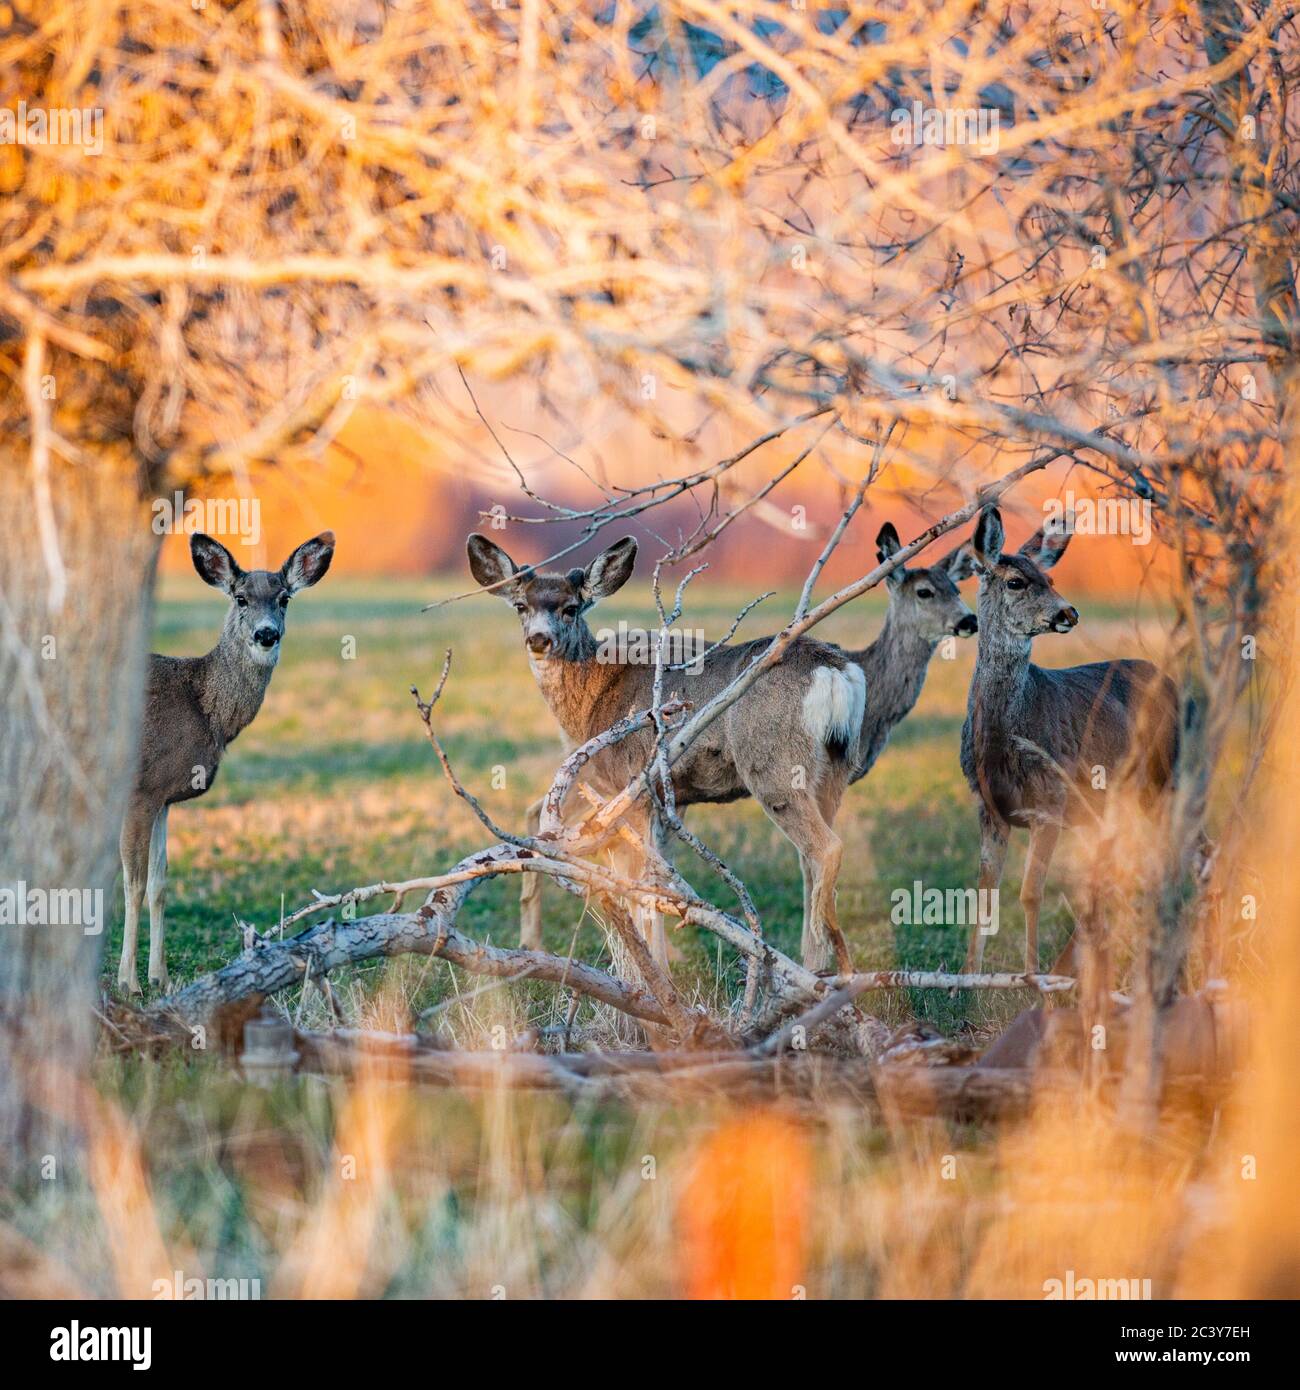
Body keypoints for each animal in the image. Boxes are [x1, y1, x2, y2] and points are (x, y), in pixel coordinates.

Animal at [115, 525, 335, 995]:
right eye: (240, 598)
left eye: (284, 597)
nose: (267, 634)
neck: (203, 706)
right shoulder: (139, 789)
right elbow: (134, 884)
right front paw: (130, 983)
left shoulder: (164, 797)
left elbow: (160, 883)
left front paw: (160, 977)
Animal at [956, 508, 1179, 978]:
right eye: (1016, 581)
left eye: (1051, 578)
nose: (1069, 612)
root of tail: (1167, 678)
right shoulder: (990, 807)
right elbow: (984, 896)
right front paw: (965, 980)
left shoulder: (1050, 801)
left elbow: (1029, 893)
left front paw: (1029, 976)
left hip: (1162, 776)